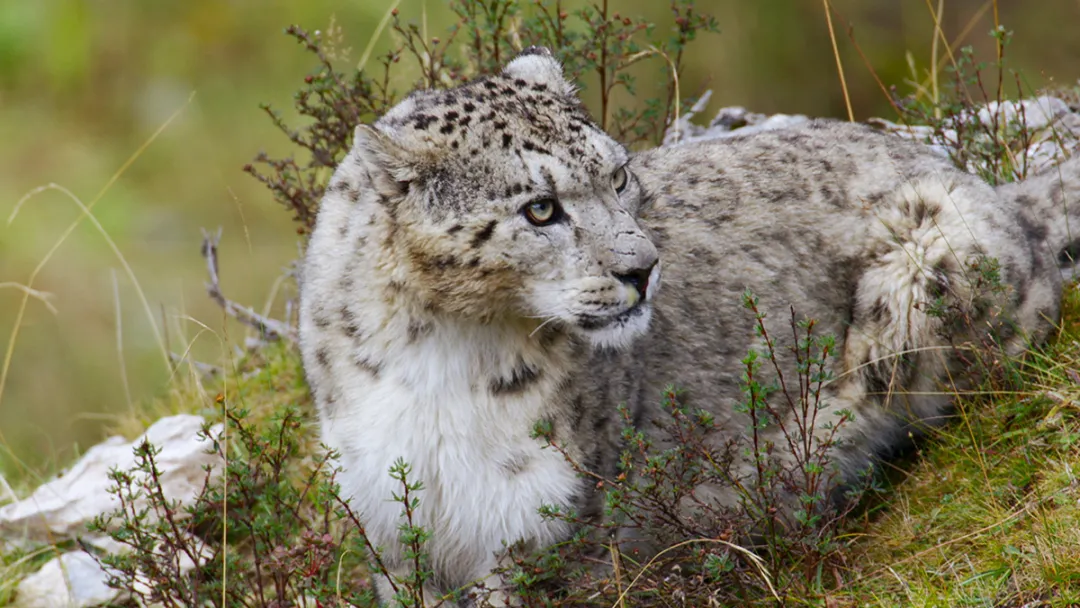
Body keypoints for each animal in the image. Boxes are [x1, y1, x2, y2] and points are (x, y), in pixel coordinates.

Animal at [298, 46, 1080, 604]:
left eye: (617, 175)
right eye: (540, 208)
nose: (643, 268)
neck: (441, 358)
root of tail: (997, 194)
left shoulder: (543, 531)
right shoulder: (398, 537)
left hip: (928, 273)